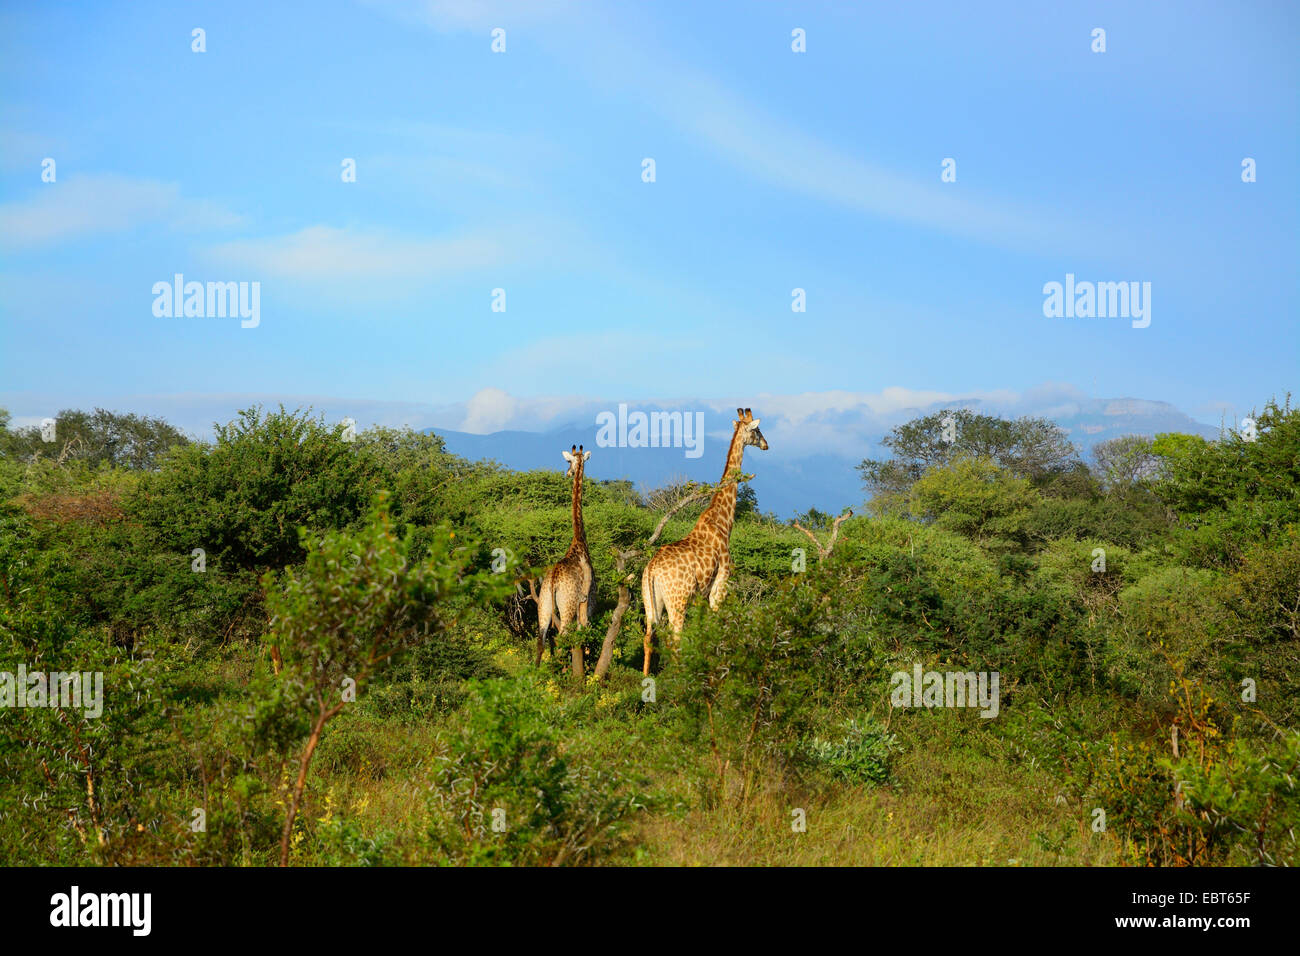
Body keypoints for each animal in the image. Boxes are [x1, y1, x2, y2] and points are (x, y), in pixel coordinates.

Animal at [642, 408, 764, 676]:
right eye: (758, 430)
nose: (766, 444)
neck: (723, 523)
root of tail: (652, 569)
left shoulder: (701, 593)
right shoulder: (720, 583)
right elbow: (717, 626)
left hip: (650, 600)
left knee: (649, 635)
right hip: (677, 601)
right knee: (675, 637)